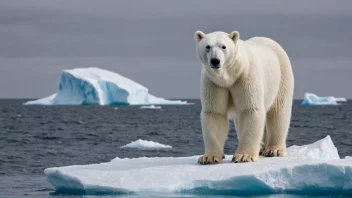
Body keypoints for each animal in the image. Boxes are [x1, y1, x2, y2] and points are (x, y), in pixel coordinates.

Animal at [195, 31, 294, 164]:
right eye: (208, 46)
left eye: (223, 46)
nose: (215, 61)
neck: (231, 76)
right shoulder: (214, 83)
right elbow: (215, 113)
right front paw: (209, 157)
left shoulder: (246, 77)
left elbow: (250, 110)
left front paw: (244, 156)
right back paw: (261, 147)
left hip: (282, 76)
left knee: (278, 112)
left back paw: (274, 150)